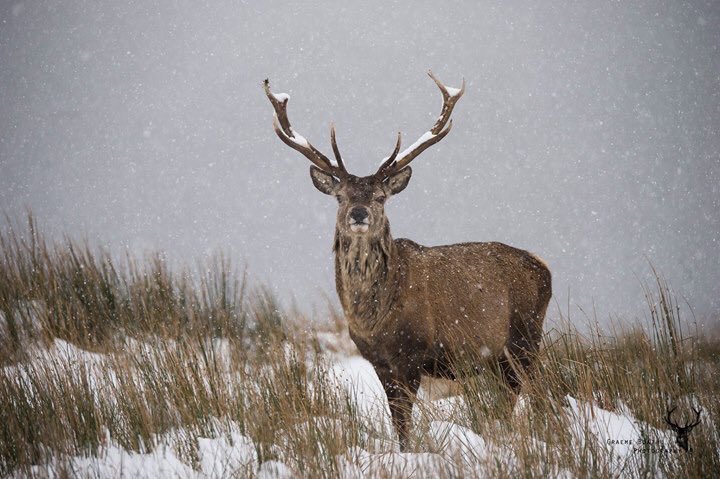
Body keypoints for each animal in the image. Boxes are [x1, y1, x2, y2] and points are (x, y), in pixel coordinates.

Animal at [263, 72, 552, 450]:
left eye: (380, 197)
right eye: (340, 196)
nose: (358, 213)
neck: (374, 318)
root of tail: (544, 267)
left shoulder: (413, 353)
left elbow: (405, 423)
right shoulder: (378, 361)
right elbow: (396, 421)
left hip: (524, 337)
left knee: (537, 394)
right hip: (502, 356)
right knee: (510, 399)